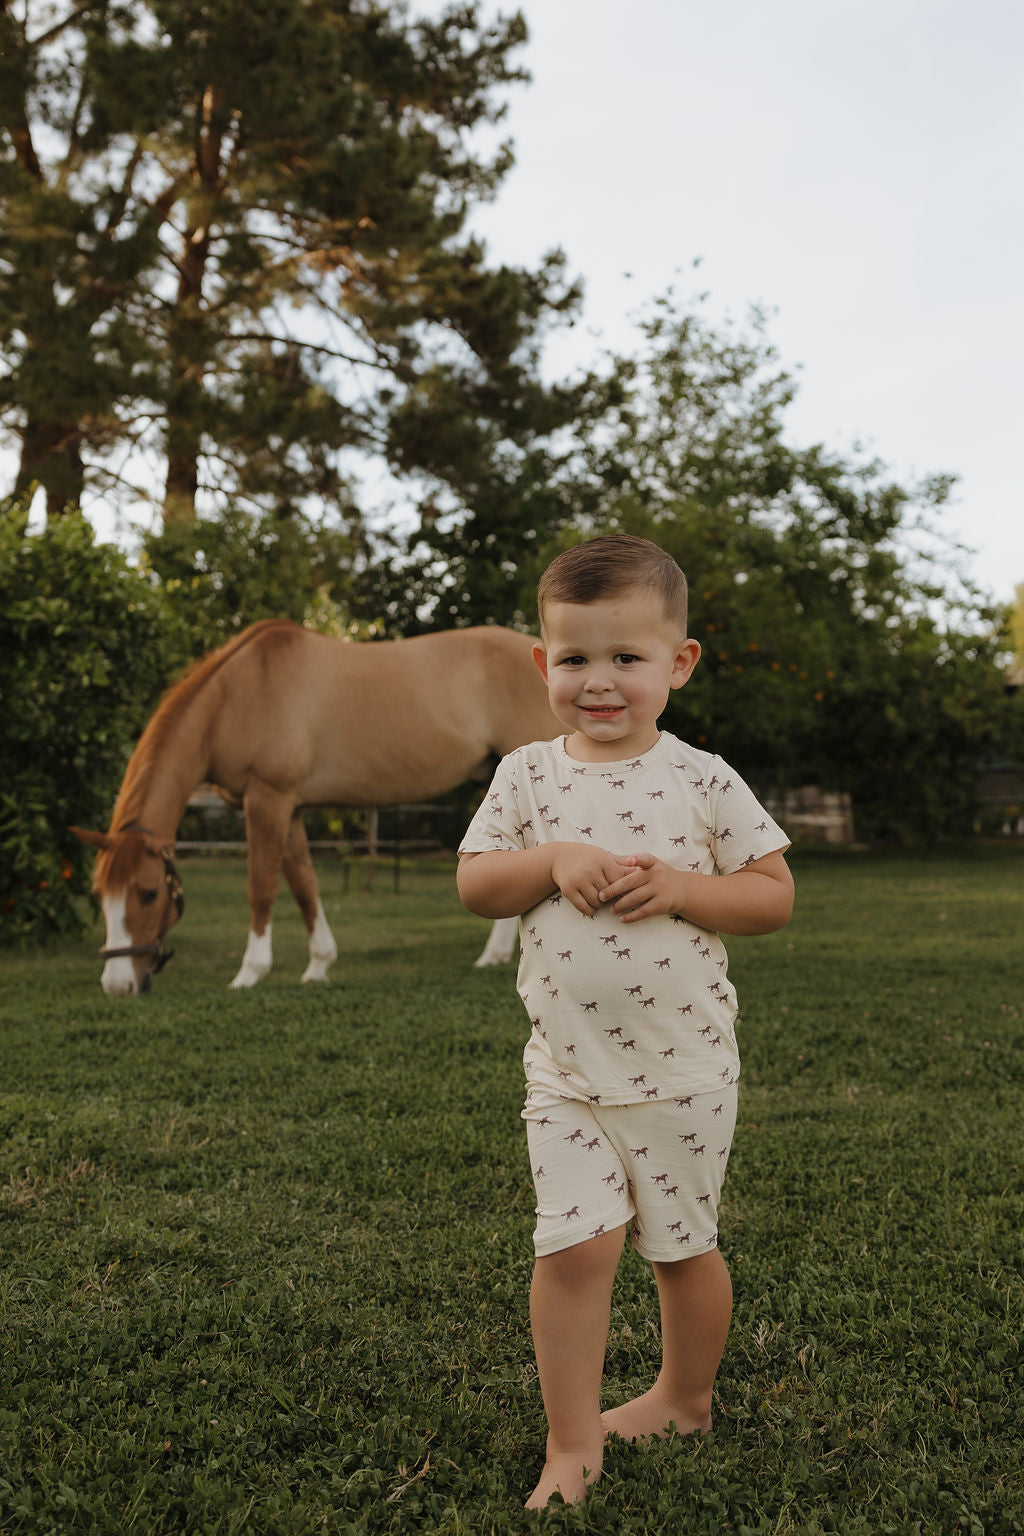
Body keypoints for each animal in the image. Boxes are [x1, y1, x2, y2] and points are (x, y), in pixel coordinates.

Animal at [72, 619, 558, 996]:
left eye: (150, 893)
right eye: (98, 894)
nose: (117, 985)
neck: (237, 695)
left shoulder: (267, 798)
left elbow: (262, 886)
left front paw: (249, 973)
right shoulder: (289, 807)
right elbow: (303, 883)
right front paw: (319, 965)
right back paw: (492, 956)